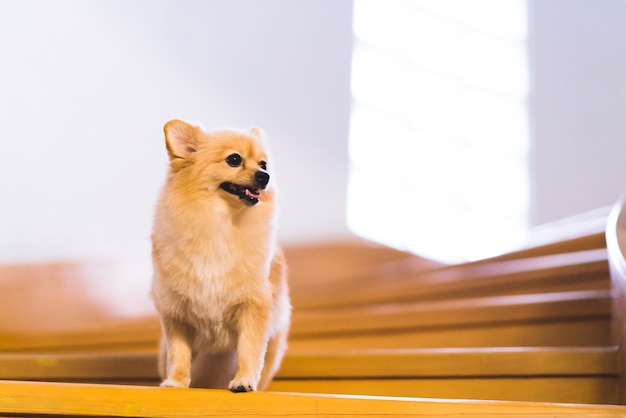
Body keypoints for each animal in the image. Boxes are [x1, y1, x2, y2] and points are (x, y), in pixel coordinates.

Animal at [151, 118, 290, 392]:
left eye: (263, 164)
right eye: (234, 160)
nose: (265, 176)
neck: (220, 224)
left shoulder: (252, 307)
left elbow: (249, 350)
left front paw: (244, 380)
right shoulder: (176, 315)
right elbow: (179, 354)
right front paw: (176, 382)